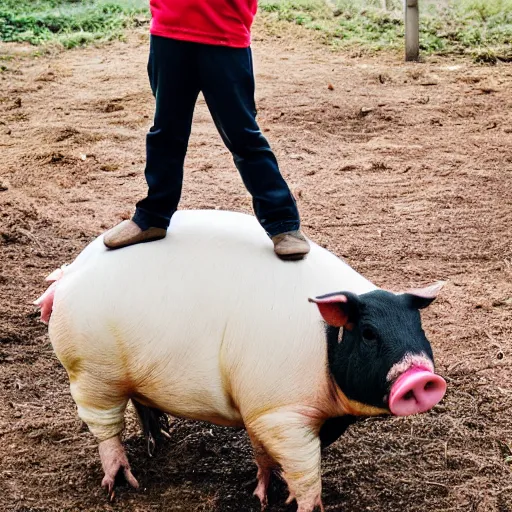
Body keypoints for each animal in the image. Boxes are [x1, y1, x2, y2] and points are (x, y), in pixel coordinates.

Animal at [34, 209, 446, 512]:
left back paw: (162, 440)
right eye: (369, 333)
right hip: (91, 373)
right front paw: (299, 503)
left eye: (418, 325)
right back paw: (121, 484)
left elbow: (266, 454)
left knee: (141, 403)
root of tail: (69, 274)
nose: (422, 378)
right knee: (105, 428)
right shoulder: (279, 411)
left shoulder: (263, 408)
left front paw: (268, 493)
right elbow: (305, 469)